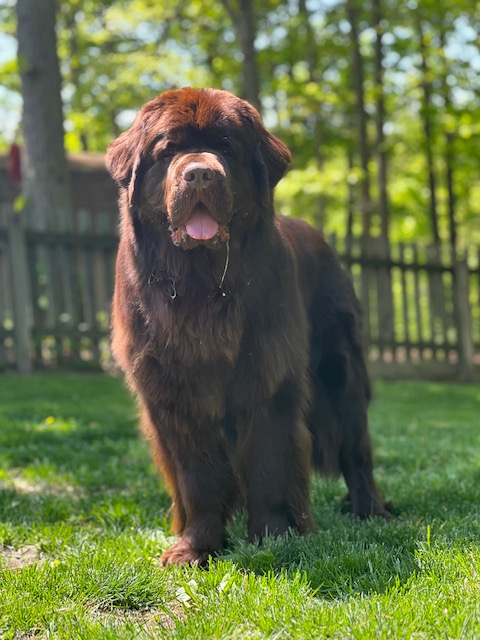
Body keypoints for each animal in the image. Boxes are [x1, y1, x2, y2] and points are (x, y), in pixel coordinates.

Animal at [106, 86, 390, 564]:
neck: (202, 287)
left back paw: (370, 509)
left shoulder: (268, 380)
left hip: (342, 373)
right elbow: (198, 477)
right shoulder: (176, 398)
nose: (200, 174)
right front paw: (196, 547)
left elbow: (268, 464)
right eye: (170, 149)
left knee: (357, 452)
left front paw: (275, 537)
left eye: (226, 148)